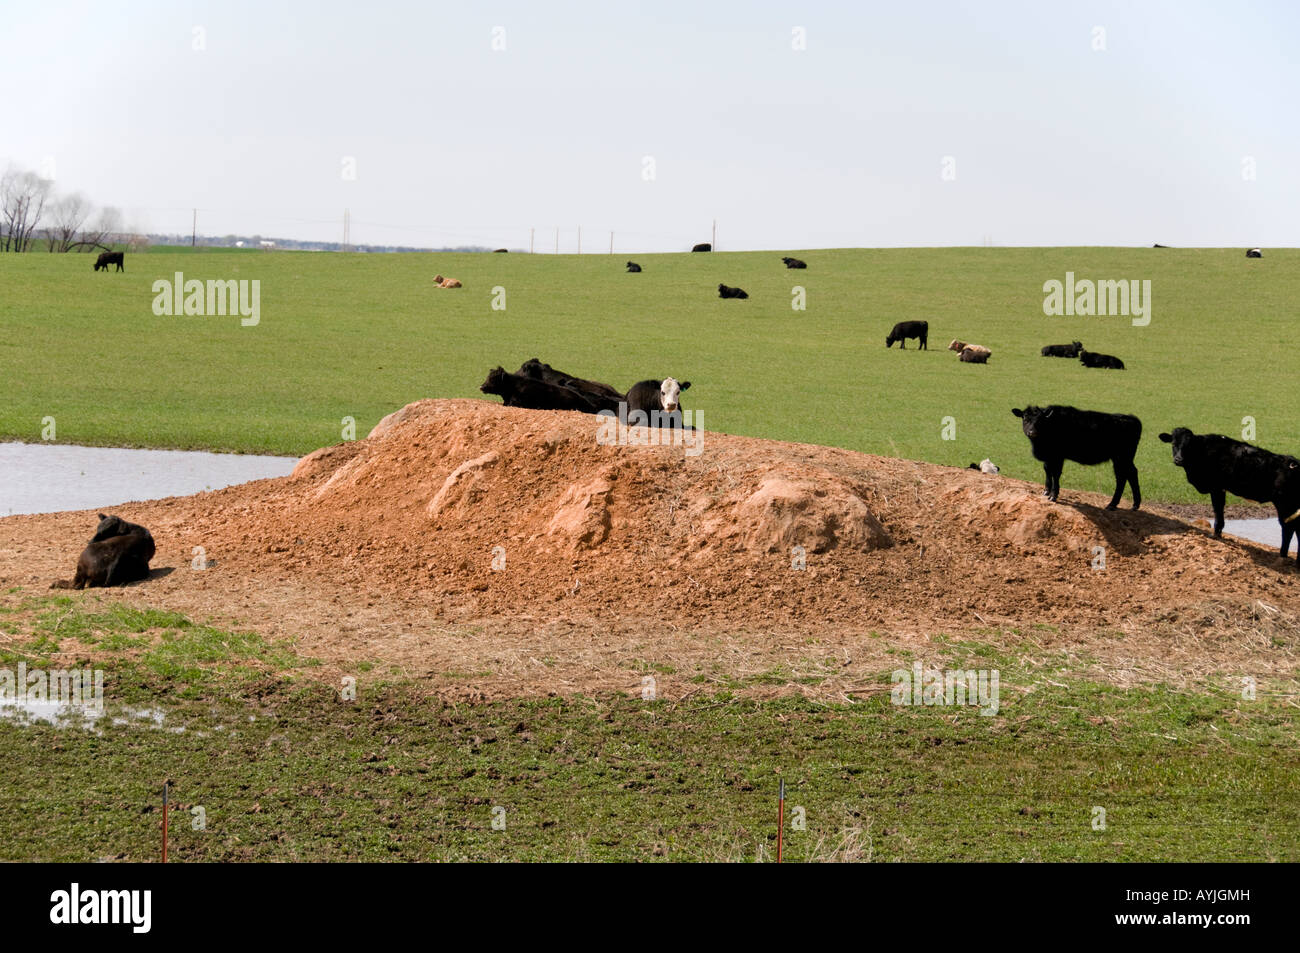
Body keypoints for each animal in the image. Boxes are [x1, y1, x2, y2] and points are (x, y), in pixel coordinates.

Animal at [1008, 405, 1144, 509]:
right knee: (1131, 474)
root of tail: (1131, 418)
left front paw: (1053, 495)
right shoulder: (1049, 457)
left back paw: (1112, 504)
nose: (1032, 432)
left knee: (1122, 477)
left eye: (1040, 421)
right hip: (1123, 459)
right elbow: (1047, 470)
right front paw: (1046, 491)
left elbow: (1055, 474)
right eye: (1025, 419)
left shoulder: (1058, 456)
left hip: (1122, 458)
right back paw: (1134, 505)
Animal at [1164, 426, 1300, 561]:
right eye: (1173, 443)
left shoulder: (1216, 488)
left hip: (1285, 504)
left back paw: (1283, 555)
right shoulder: (1220, 489)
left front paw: (1216, 534)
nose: (1178, 459)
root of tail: (1294, 462)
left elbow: (1218, 509)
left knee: (1289, 528)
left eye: (1188, 445)